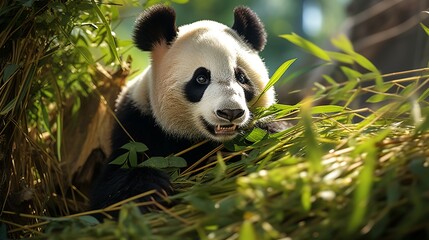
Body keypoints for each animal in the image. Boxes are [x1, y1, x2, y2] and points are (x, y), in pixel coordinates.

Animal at [91, 3, 278, 210]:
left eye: (242, 78)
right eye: (201, 78)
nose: (231, 112)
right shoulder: (137, 126)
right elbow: (110, 187)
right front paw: (152, 188)